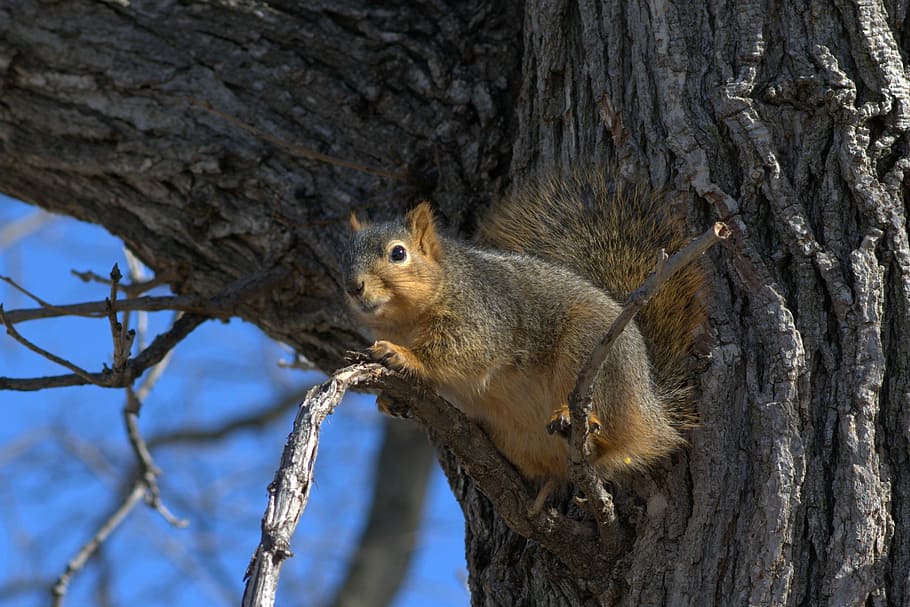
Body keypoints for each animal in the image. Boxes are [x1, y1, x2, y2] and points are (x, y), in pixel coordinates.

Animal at [342, 170, 706, 485]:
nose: (353, 287)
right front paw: (389, 399)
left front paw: (403, 355)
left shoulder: (485, 318)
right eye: (345, 257)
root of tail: (651, 409)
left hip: (591, 352)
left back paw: (577, 419)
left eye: (398, 253)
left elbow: (462, 353)